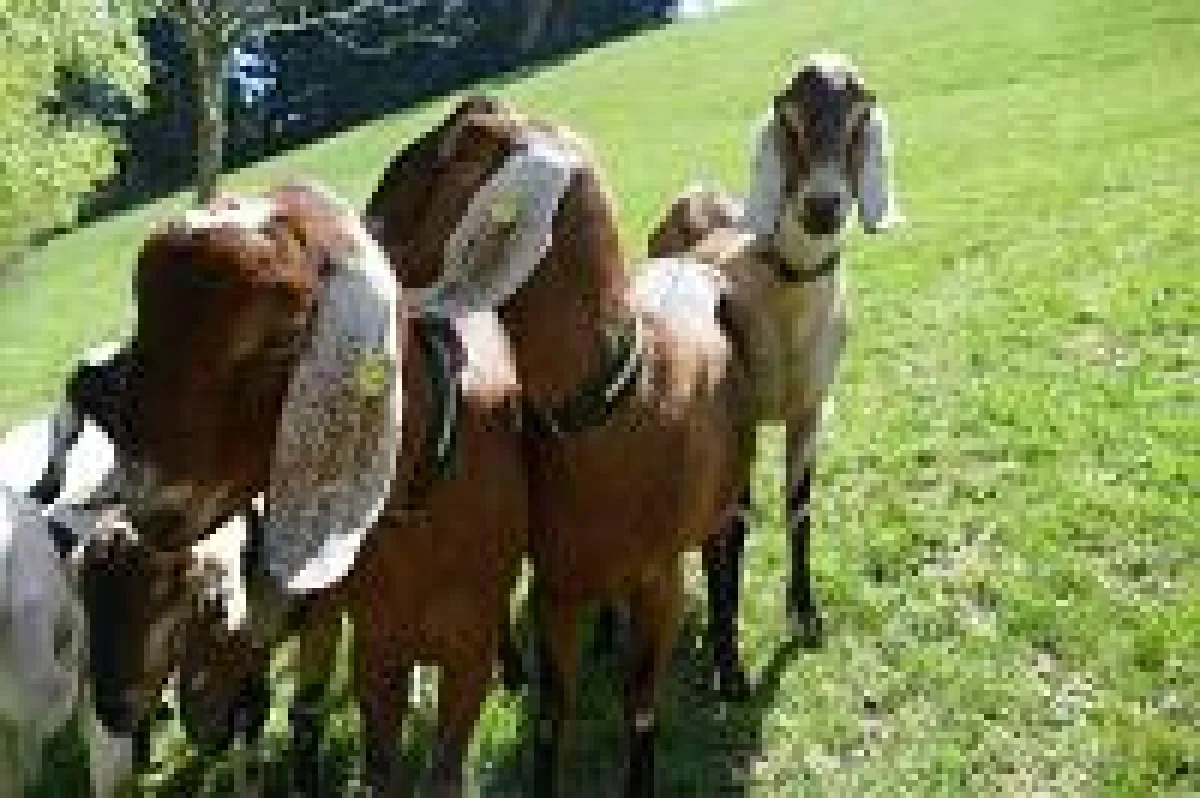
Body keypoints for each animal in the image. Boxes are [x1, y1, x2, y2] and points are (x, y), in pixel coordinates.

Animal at [93, 181, 527, 797]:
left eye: (282, 338)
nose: (149, 503)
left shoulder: (468, 653)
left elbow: (444, 770)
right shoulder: (375, 649)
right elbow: (377, 763)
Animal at [368, 97, 757, 797]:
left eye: (467, 145)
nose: (362, 231)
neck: (620, 404)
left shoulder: (660, 583)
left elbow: (640, 704)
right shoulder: (554, 586)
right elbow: (553, 712)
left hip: (730, 495)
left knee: (725, 563)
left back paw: (730, 669)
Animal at [643, 52, 902, 696]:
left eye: (861, 111)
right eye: (789, 114)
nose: (822, 206)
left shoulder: (811, 411)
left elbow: (799, 508)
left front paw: (806, 616)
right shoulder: (738, 421)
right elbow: (731, 530)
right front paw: (729, 664)